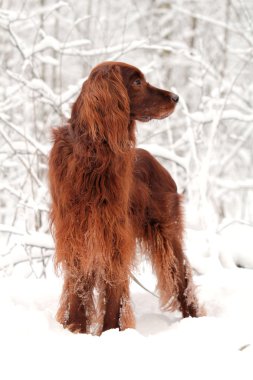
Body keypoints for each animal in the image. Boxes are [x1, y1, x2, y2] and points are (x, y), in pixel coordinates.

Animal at [49, 60, 202, 334]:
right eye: (137, 82)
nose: (176, 97)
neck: (93, 154)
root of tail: (157, 162)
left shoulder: (115, 237)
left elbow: (113, 295)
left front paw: (110, 333)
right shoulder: (76, 235)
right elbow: (78, 291)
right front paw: (75, 330)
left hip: (167, 234)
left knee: (182, 278)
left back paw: (194, 321)